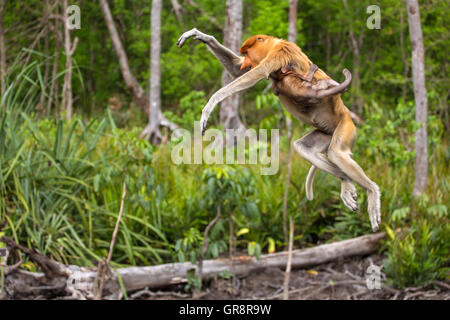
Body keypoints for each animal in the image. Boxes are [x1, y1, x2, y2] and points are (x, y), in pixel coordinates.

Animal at [176, 28, 380, 231]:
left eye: (247, 53)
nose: (246, 63)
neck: (273, 44)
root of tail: (346, 116)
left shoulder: (281, 52)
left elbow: (258, 72)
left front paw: (210, 104)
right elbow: (236, 70)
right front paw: (200, 36)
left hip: (345, 127)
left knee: (337, 153)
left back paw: (372, 191)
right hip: (326, 133)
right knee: (304, 148)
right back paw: (346, 181)